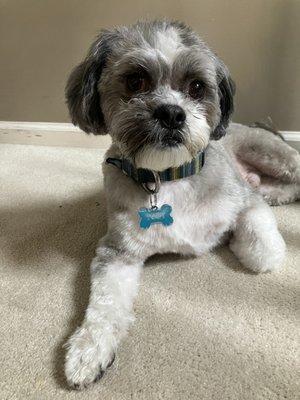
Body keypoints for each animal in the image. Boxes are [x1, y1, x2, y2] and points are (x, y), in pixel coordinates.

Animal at [63, 20, 300, 390]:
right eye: (135, 81)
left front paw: (245, 245)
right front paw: (89, 349)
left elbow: (264, 251)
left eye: (197, 87)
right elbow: (104, 303)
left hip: (272, 155)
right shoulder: (117, 252)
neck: (169, 176)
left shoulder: (245, 201)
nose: (172, 113)